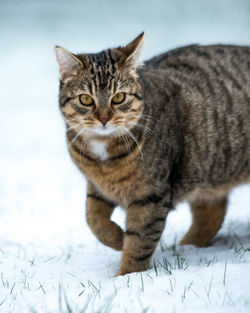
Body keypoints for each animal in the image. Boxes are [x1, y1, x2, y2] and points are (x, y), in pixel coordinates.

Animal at [55, 33, 250, 274]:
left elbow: (139, 242)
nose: (104, 118)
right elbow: (93, 219)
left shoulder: (150, 196)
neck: (103, 157)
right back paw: (188, 247)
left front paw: (126, 276)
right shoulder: (96, 187)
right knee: (213, 212)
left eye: (118, 97)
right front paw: (118, 239)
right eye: (86, 99)